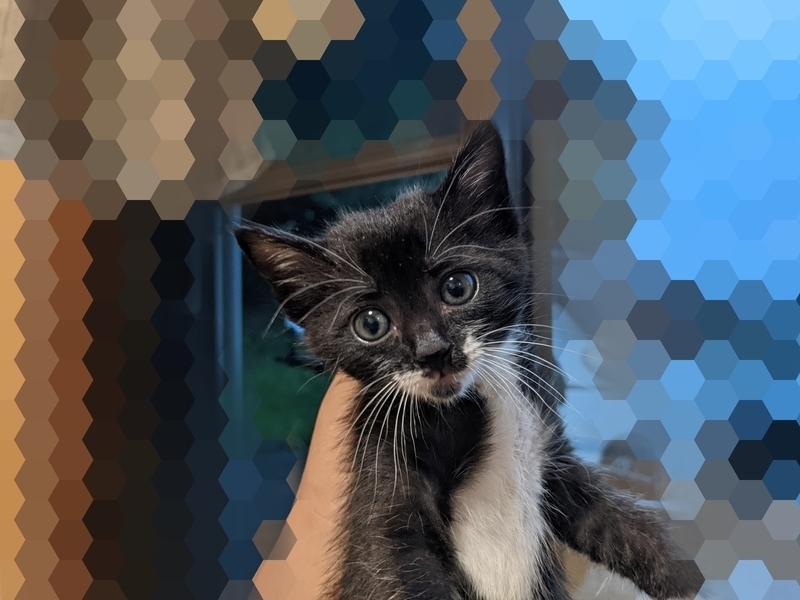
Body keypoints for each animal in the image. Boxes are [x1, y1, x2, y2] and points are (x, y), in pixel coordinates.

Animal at [236, 122, 704, 600]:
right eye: (370, 323)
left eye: (458, 287)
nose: (433, 352)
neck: (472, 401)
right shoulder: (383, 473)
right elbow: (393, 558)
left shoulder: (549, 452)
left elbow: (621, 522)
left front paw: (692, 575)